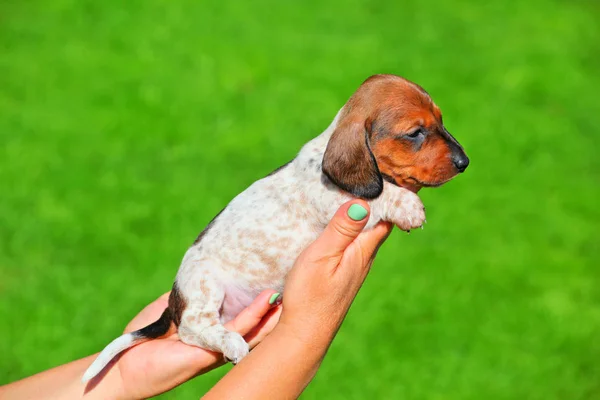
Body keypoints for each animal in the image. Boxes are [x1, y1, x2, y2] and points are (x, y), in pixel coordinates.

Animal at [83, 72, 468, 382]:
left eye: (441, 121)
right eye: (415, 133)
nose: (464, 162)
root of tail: (175, 300)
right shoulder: (338, 202)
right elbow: (380, 195)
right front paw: (408, 206)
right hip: (205, 286)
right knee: (192, 328)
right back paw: (231, 342)